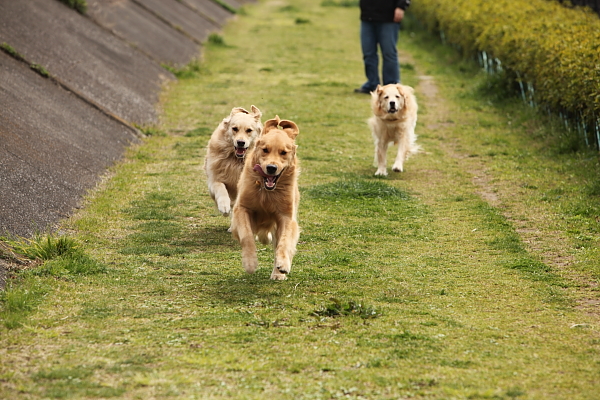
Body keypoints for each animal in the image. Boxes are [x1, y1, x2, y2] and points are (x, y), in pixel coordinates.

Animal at [232, 115, 302, 282]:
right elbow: (247, 236)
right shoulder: (242, 209)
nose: (271, 168)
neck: (267, 192)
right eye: (265, 150)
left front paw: (283, 264)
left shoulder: (286, 216)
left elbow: (284, 242)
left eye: (283, 152)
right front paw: (250, 262)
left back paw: (278, 272)